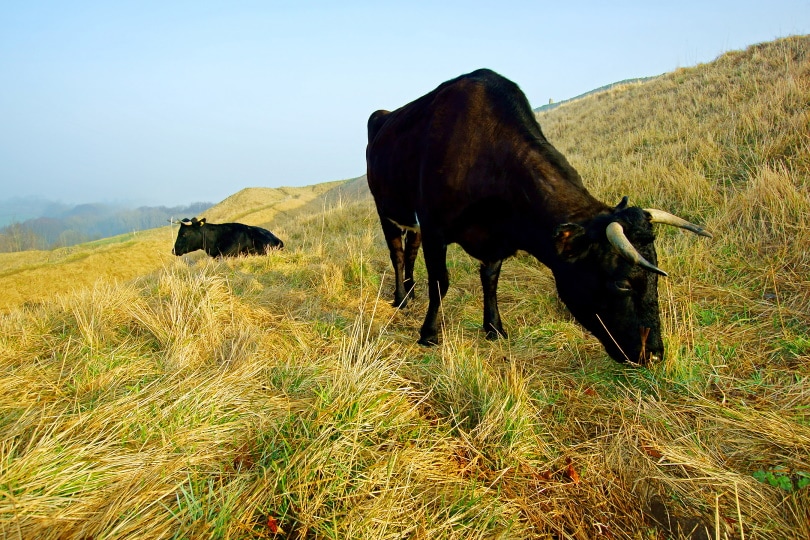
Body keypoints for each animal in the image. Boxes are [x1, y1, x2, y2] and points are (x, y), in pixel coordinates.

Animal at [362, 67, 712, 362]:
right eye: (622, 283)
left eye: (655, 278)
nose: (653, 354)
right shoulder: (435, 226)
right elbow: (440, 282)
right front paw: (429, 334)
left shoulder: (494, 238)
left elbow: (490, 279)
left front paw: (494, 328)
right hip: (384, 207)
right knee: (397, 252)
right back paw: (401, 298)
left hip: (411, 220)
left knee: (410, 249)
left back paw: (410, 293)